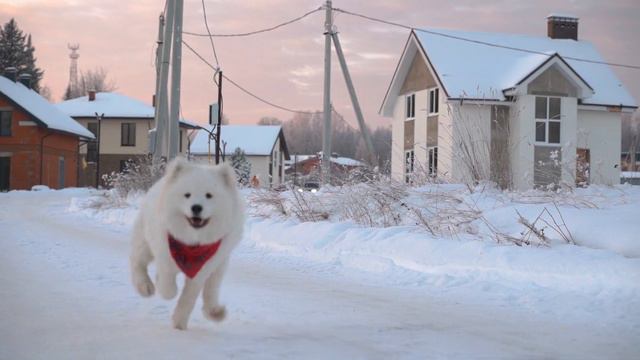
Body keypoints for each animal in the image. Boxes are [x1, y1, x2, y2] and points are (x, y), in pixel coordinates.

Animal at [129, 158, 244, 330]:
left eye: (209, 195)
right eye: (187, 195)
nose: (196, 207)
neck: (192, 242)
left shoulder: (202, 270)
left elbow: (188, 298)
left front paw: (179, 323)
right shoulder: (165, 255)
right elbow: (167, 283)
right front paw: (165, 289)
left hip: (220, 265)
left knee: (211, 290)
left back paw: (215, 312)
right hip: (145, 241)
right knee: (137, 261)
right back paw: (145, 287)